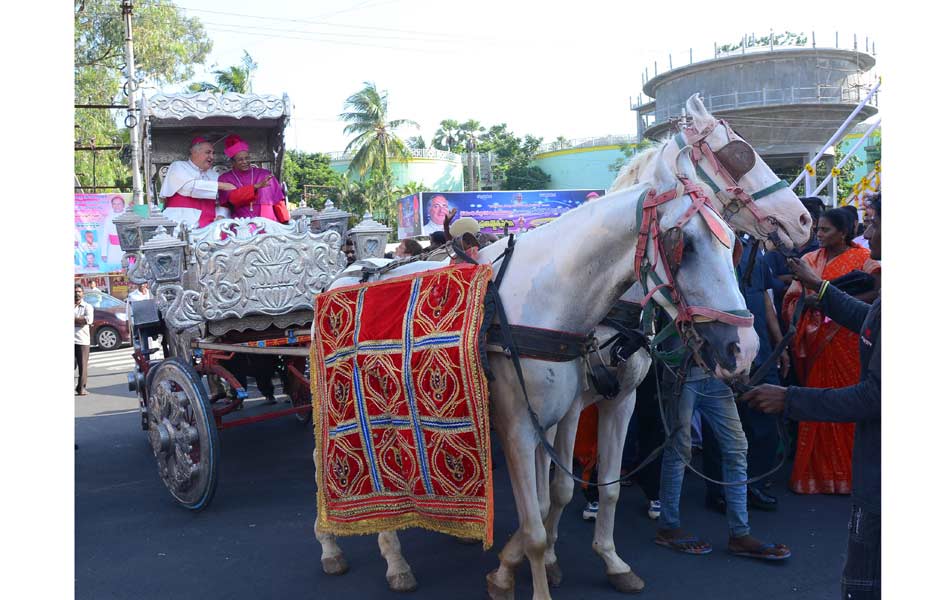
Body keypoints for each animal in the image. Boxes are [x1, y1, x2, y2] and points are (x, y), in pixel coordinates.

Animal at [316, 143, 764, 596]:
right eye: (684, 245)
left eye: (731, 244)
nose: (743, 349)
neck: (550, 301)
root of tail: (346, 274)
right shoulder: (519, 426)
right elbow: (536, 520)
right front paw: (518, 572)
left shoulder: (581, 409)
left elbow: (570, 492)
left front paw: (590, 561)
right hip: (343, 406)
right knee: (331, 465)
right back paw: (362, 551)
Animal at [532, 96, 816, 592]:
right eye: (739, 154)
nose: (804, 220)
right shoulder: (570, 405)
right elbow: (561, 487)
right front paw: (548, 556)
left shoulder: (625, 396)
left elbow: (605, 482)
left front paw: (611, 560)